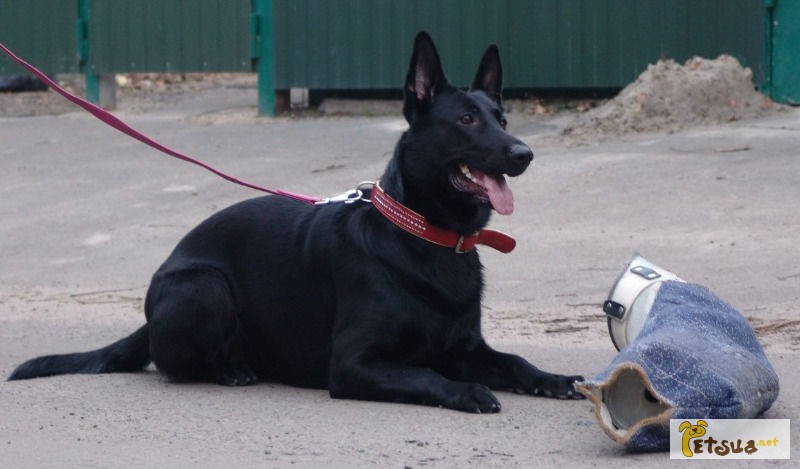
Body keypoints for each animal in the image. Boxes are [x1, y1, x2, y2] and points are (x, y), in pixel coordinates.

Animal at [9, 33, 584, 412]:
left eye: (502, 118)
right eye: (465, 119)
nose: (525, 153)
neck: (425, 236)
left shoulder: (467, 349)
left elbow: (515, 362)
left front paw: (551, 378)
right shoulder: (354, 366)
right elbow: (424, 375)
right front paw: (465, 391)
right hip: (204, 286)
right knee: (172, 363)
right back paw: (230, 370)